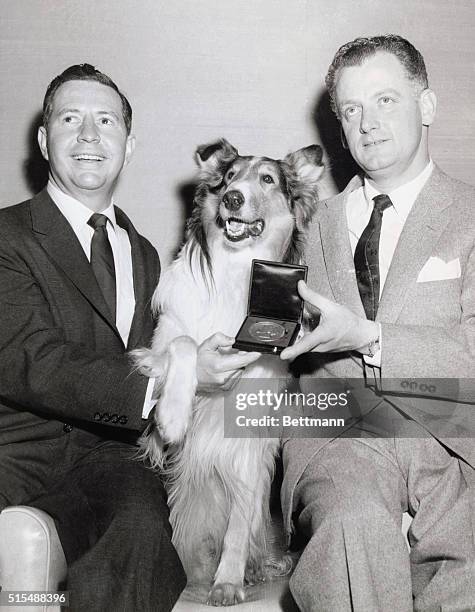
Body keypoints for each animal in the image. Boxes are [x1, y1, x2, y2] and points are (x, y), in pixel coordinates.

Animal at [136, 137, 326, 604]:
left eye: (268, 179)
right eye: (228, 177)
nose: (233, 198)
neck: (233, 271)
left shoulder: (250, 433)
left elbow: (240, 519)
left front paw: (228, 580)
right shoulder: (165, 342)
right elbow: (184, 344)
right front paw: (172, 414)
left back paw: (254, 569)